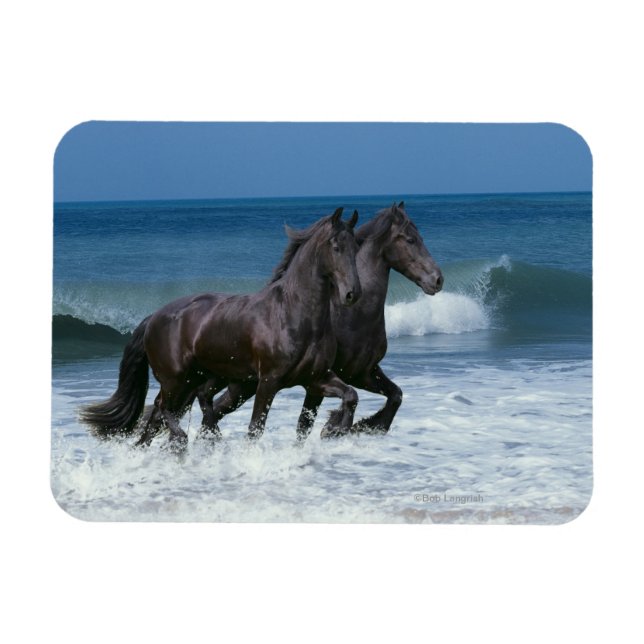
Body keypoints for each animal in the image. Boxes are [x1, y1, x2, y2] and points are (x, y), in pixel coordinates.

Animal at [80, 207, 363, 447]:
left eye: (356, 247)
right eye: (336, 247)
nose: (352, 294)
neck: (295, 316)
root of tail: (153, 317)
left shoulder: (315, 380)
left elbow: (346, 398)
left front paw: (336, 429)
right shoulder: (269, 382)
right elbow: (255, 429)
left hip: (210, 378)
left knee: (180, 408)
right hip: (176, 380)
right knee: (162, 407)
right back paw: (184, 440)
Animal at [198, 202, 443, 439]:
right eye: (410, 239)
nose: (437, 280)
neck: (355, 316)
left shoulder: (364, 373)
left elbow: (396, 395)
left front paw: (364, 426)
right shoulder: (329, 381)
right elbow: (306, 425)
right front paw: (334, 427)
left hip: (242, 385)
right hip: (238, 384)